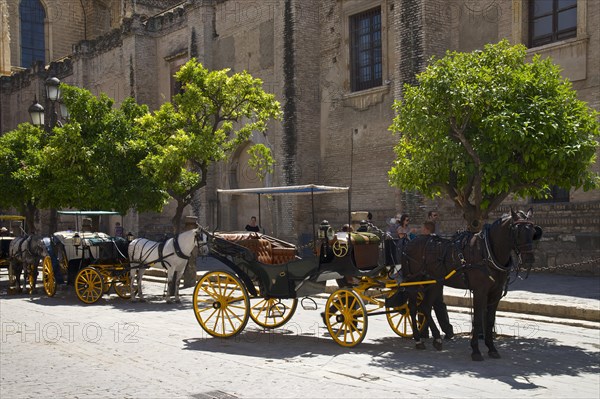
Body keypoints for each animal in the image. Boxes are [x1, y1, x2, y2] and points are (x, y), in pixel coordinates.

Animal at [400, 209, 540, 362]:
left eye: (533, 231)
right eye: (517, 231)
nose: (529, 260)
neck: (487, 251)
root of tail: (408, 244)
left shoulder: (496, 292)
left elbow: (489, 320)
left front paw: (492, 348)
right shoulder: (480, 291)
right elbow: (477, 320)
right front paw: (476, 350)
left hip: (434, 283)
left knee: (425, 306)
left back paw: (436, 339)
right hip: (413, 281)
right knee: (413, 308)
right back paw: (418, 339)